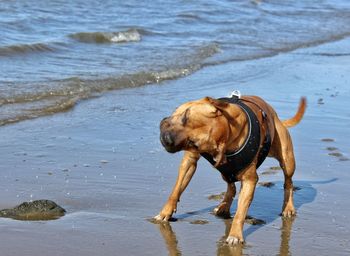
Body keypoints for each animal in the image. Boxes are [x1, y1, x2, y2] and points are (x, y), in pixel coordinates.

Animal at [155, 93, 306, 245]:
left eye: (193, 142)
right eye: (185, 116)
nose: (167, 139)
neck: (229, 135)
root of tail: (275, 116)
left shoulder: (250, 180)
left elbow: (240, 212)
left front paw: (235, 235)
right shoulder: (189, 161)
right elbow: (176, 190)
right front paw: (165, 212)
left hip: (287, 159)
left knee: (288, 182)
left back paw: (288, 207)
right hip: (227, 171)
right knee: (231, 186)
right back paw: (224, 206)